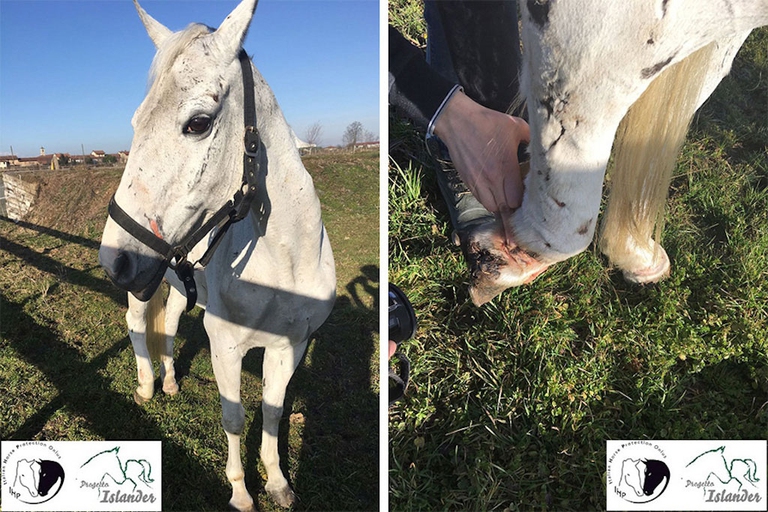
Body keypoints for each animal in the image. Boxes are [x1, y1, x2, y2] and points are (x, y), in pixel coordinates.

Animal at [98, 1, 336, 510]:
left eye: (198, 123)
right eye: (135, 123)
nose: (113, 259)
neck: (284, 264)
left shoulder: (291, 345)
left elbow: (272, 412)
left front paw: (278, 482)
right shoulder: (224, 345)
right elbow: (234, 417)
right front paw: (241, 492)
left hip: (175, 287)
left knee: (168, 325)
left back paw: (169, 381)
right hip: (142, 291)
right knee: (137, 326)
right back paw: (147, 386)